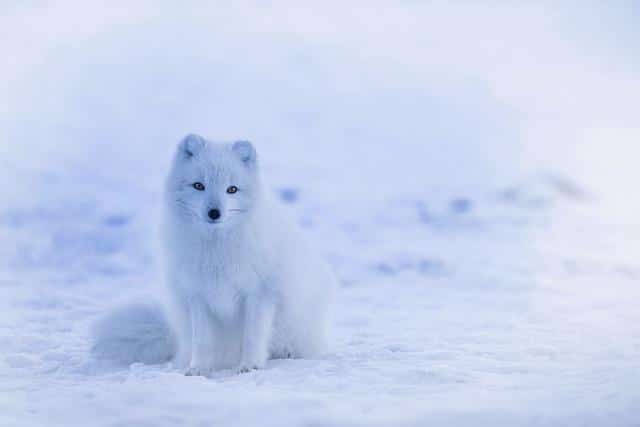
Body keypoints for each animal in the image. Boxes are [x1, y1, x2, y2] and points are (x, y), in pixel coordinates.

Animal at [91, 134, 336, 375]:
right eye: (199, 186)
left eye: (232, 189)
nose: (214, 213)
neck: (216, 250)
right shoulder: (197, 295)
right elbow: (202, 340)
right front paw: (198, 369)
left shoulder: (260, 293)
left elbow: (253, 336)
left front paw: (250, 365)